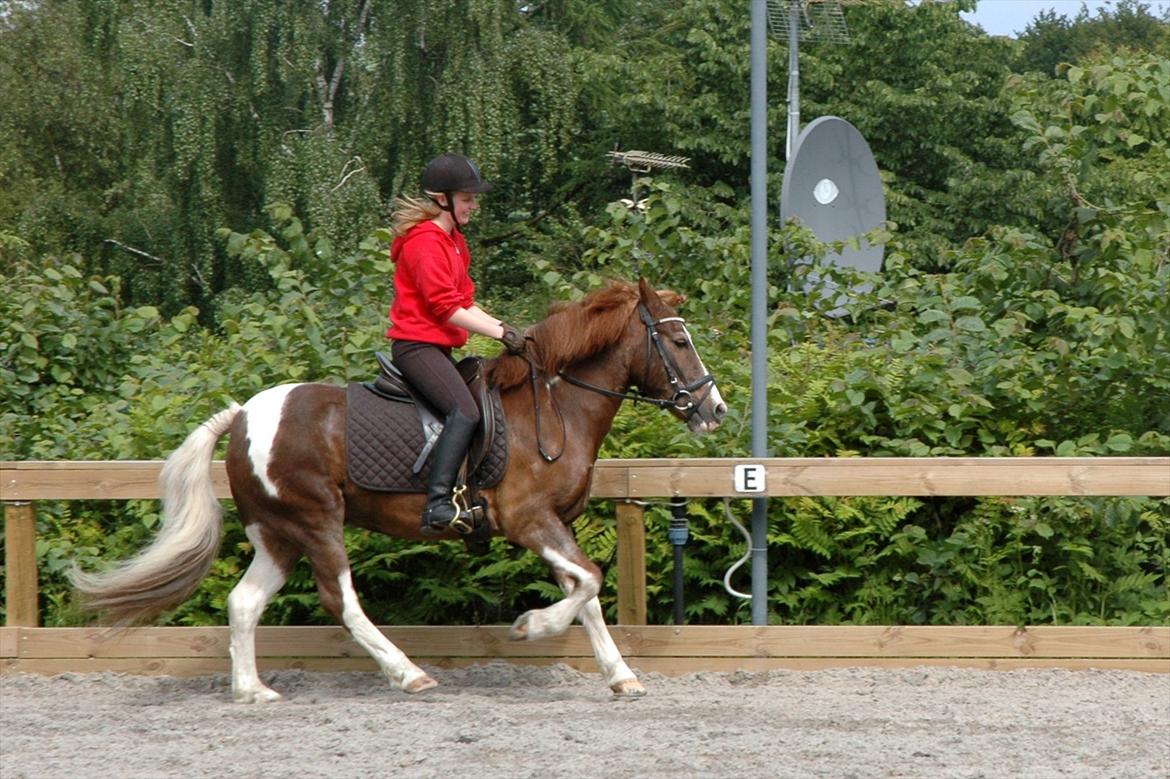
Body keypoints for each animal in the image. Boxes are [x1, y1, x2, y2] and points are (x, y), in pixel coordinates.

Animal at [70, 277, 720, 697]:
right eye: (678, 342)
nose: (715, 409)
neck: (554, 406)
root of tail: (244, 416)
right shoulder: (530, 519)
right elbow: (589, 581)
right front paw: (531, 627)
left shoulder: (553, 525)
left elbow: (586, 595)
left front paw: (620, 676)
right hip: (317, 522)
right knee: (341, 601)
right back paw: (409, 674)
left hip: (278, 533)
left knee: (244, 602)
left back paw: (253, 691)